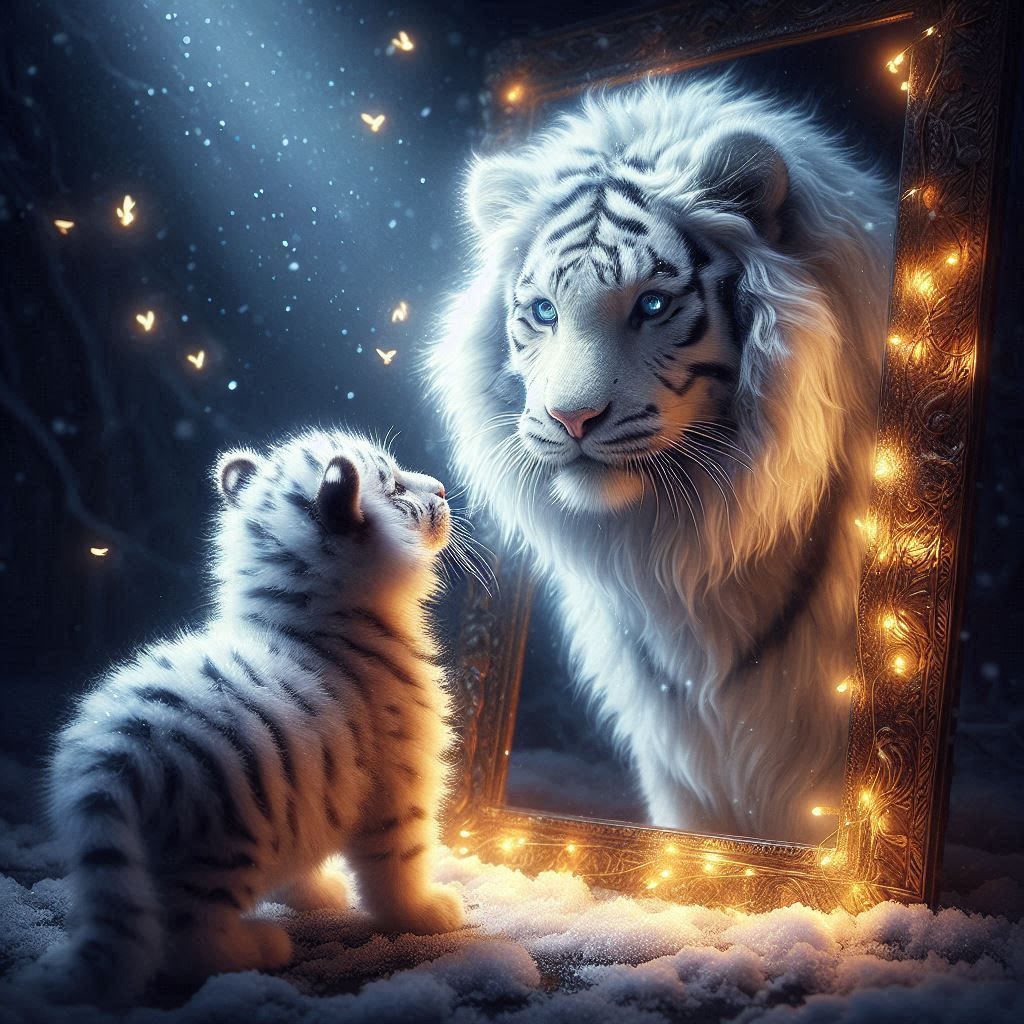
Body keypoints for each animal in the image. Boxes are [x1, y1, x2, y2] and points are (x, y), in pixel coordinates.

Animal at [30, 430, 464, 1007]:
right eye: (394, 488)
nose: (440, 487)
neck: (309, 618)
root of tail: (110, 757)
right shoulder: (400, 783)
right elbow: (401, 862)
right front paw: (427, 912)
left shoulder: (314, 797)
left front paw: (318, 893)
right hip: (222, 847)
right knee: (186, 941)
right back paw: (260, 948)